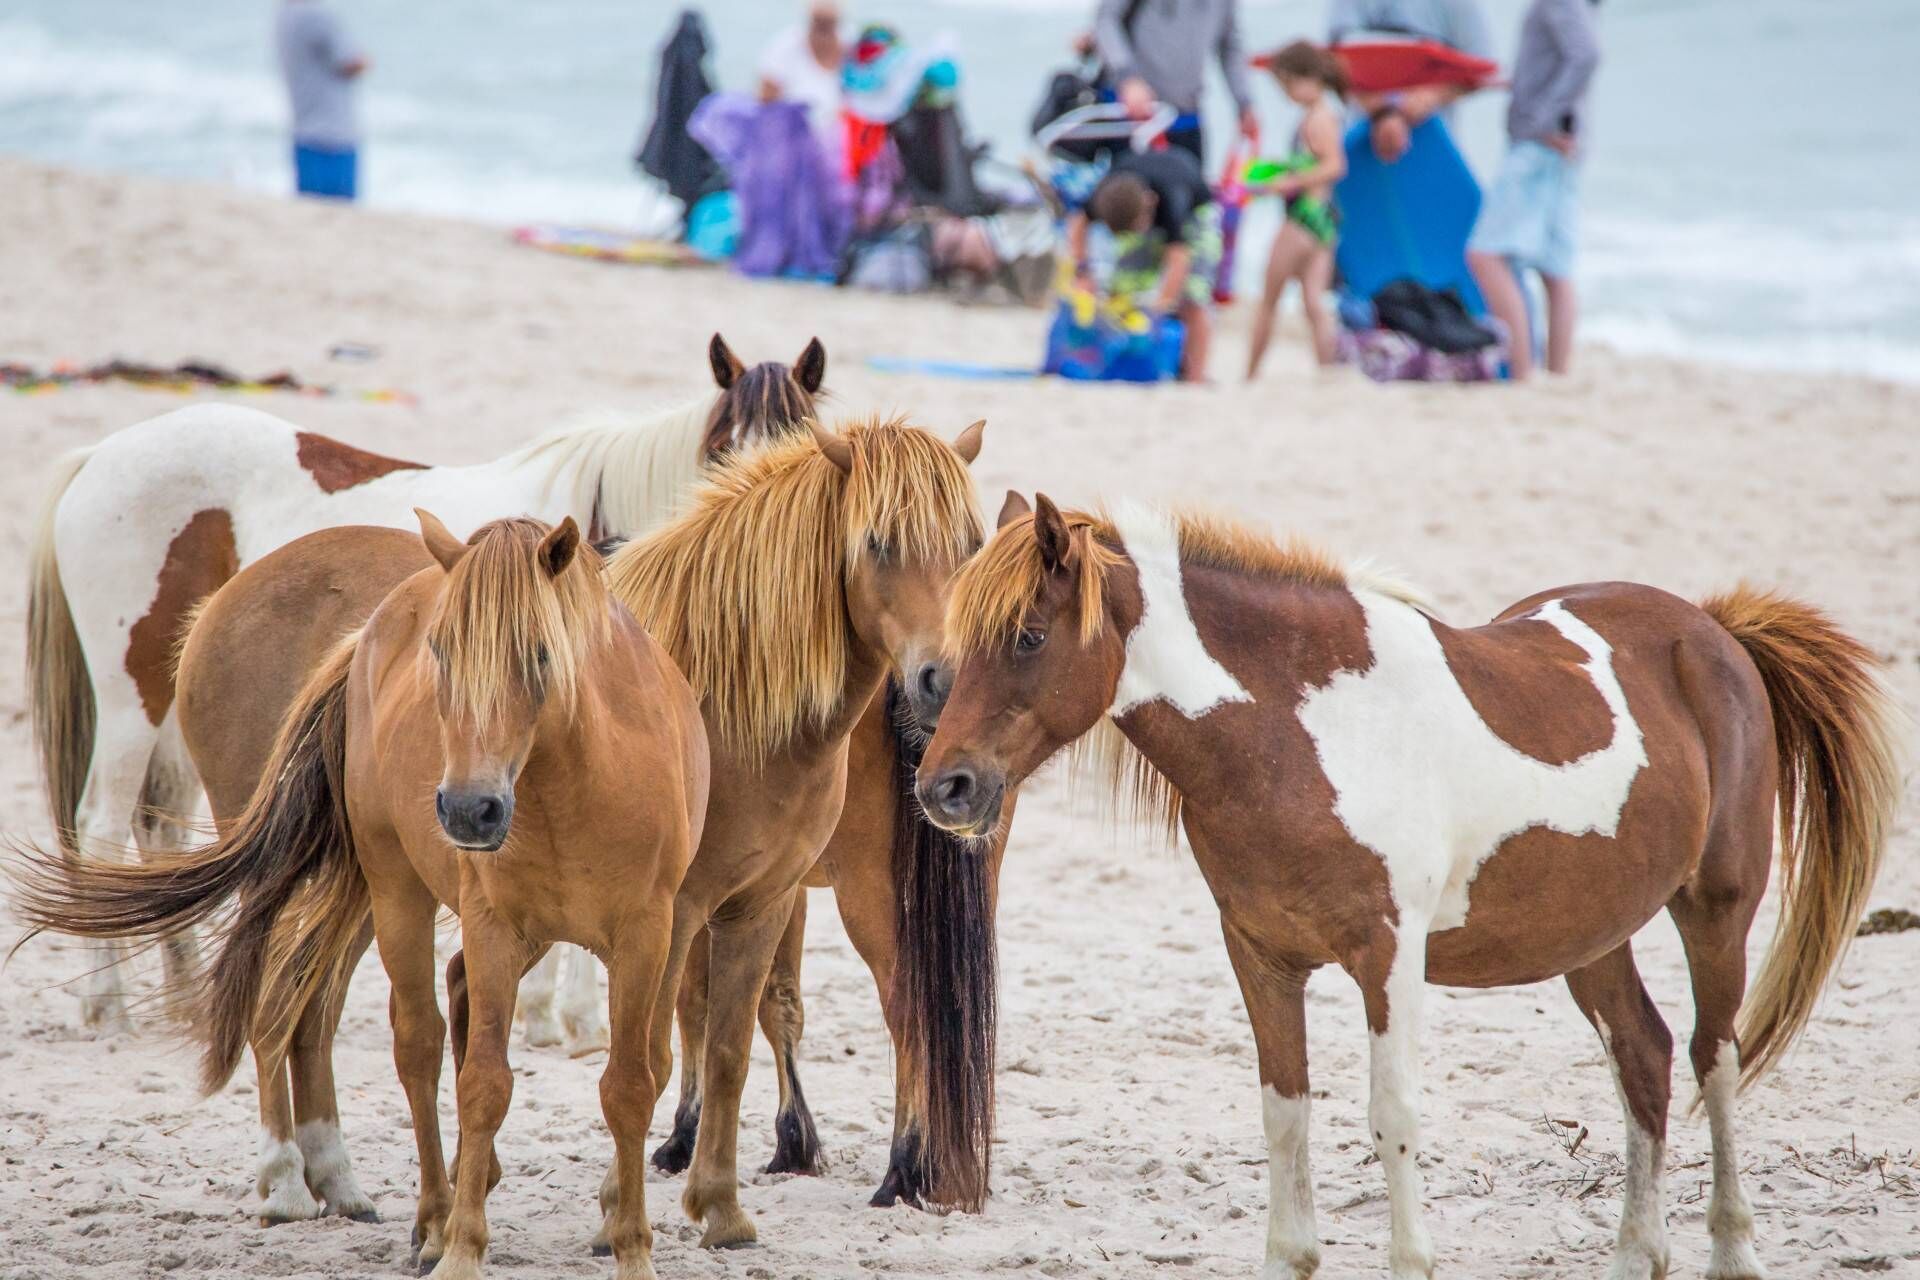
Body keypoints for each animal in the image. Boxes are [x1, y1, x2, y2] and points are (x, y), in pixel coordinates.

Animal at [17, 514, 709, 1280]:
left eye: (539, 653)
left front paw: (630, 1245)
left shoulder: (650, 935)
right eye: (440, 651)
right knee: (403, 1041)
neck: (577, 781)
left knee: (325, 1014)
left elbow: (632, 1083)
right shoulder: (493, 931)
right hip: (390, 891)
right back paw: (405, 1214)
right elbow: (483, 1082)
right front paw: (462, 1247)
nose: (468, 810)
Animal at [915, 493, 1900, 1280]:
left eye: (1029, 636)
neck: (1302, 729)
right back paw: (1635, 1255)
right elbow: (1284, 1114)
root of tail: (1711, 631)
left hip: (1716, 910)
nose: (944, 788)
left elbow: (1392, 1117)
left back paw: (1734, 1249)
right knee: (1645, 1057)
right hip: (1592, 937)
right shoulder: (1261, 956)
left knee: (1713, 1059)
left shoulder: (1388, 955)